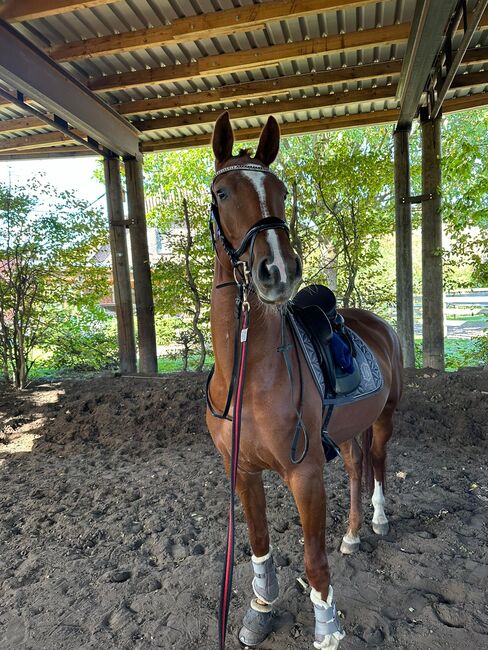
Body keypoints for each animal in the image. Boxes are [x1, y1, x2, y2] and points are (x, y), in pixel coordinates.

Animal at [206, 112, 400, 648]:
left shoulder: (305, 474)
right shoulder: (243, 472)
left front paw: (328, 629)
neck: (249, 376)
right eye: (223, 192)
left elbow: (314, 562)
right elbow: (259, 545)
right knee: (356, 468)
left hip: (385, 417)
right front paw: (260, 610)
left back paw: (377, 520)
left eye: (282, 190)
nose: (277, 270)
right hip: (349, 430)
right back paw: (351, 533)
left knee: (377, 465)